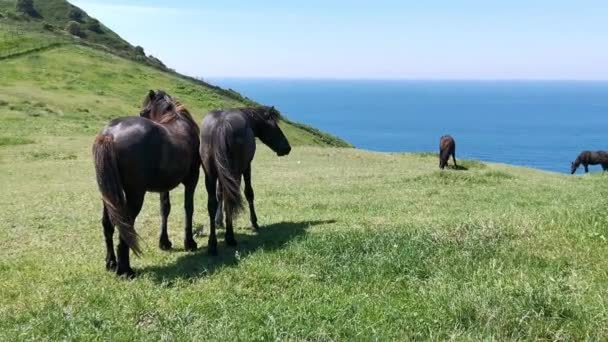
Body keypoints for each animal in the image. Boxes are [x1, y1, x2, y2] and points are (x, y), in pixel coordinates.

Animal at [92, 91, 201, 278]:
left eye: (143, 111)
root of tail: (110, 133)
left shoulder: (164, 187)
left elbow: (165, 209)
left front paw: (164, 242)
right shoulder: (192, 180)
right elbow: (188, 208)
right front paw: (189, 243)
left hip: (109, 195)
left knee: (108, 224)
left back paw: (111, 263)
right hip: (135, 195)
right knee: (125, 226)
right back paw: (125, 270)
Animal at [200, 106, 292, 254]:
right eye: (274, 127)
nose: (287, 147)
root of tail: (221, 125)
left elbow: (219, 195)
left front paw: (219, 221)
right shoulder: (247, 167)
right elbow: (249, 193)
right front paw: (254, 222)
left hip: (211, 175)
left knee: (212, 203)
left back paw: (212, 244)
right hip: (235, 173)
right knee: (230, 200)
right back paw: (230, 237)